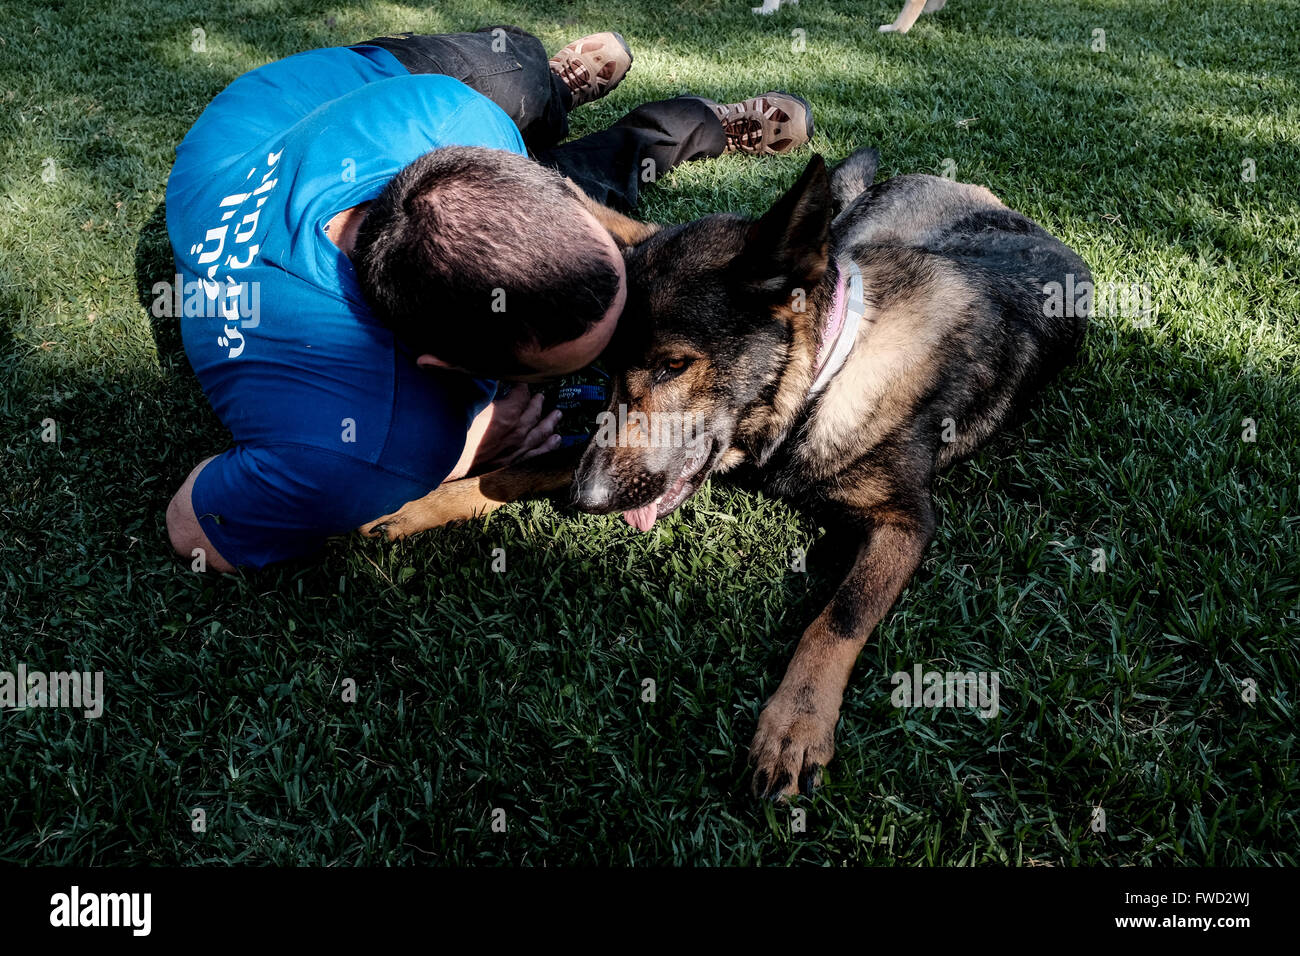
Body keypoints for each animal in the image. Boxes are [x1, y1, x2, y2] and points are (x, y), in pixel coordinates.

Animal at [361, 149, 1092, 806]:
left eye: (673, 366)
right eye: (607, 370)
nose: (586, 500)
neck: (818, 382)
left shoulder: (905, 520)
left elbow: (838, 618)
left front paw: (795, 723)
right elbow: (520, 470)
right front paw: (426, 502)